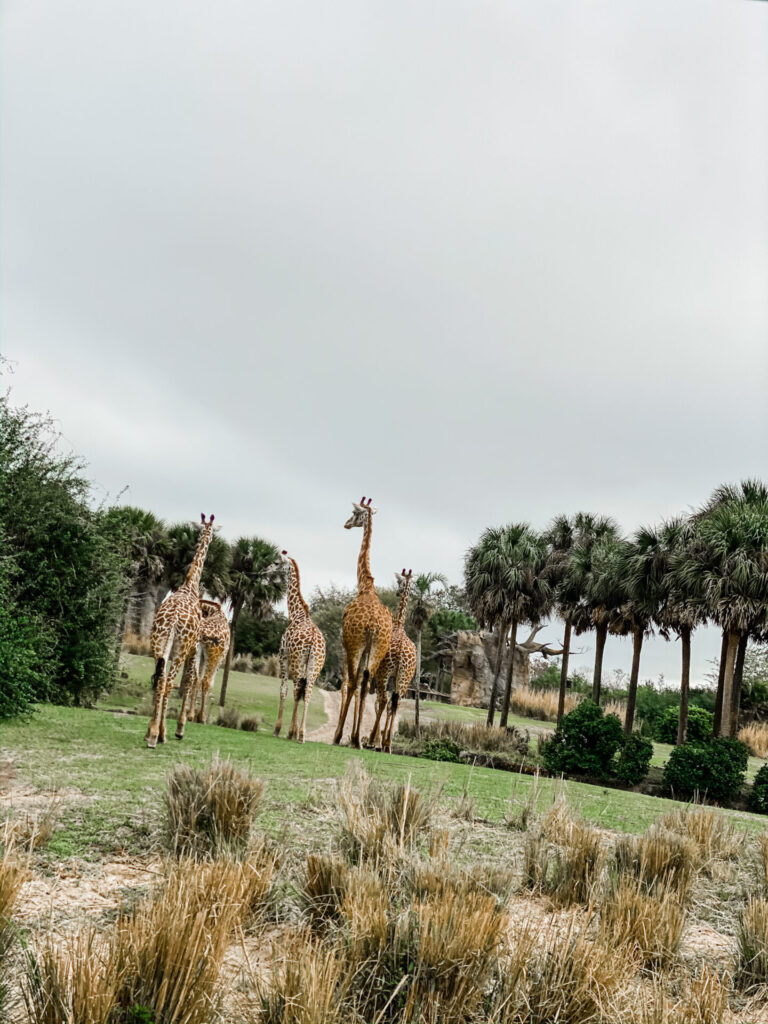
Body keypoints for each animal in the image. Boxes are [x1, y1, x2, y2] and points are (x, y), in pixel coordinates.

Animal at [144, 514, 215, 748]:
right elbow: (191, 679)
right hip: (179, 648)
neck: (189, 586)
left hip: (158, 644)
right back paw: (158, 735)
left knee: (160, 681)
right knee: (168, 682)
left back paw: (151, 733)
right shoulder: (192, 646)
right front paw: (179, 729)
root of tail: (173, 620)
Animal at [174, 599, 230, 739]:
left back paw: (187, 717)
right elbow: (208, 683)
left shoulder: (201, 655)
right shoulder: (220, 658)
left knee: (193, 678)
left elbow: (197, 679)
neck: (213, 611)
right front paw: (199, 716)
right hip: (214, 656)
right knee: (206, 681)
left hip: (194, 651)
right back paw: (203, 718)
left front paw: (191, 715)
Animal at [274, 550, 326, 742]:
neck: (296, 615)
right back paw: (301, 735)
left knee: (297, 690)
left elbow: (283, 689)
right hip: (315, 667)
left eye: (276, 562)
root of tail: (313, 641)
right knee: (307, 692)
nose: (267, 567)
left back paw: (291, 732)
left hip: (297, 663)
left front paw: (278, 729)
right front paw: (296, 731)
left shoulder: (283, 655)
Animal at [369, 569, 417, 752]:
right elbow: (390, 704)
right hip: (405, 677)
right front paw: (382, 741)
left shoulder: (378, 672)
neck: (398, 625)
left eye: (399, 582)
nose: (396, 592)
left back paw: (372, 741)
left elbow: (378, 702)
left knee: (383, 701)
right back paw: (387, 743)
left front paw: (375, 740)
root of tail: (402, 650)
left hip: (385, 673)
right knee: (396, 703)